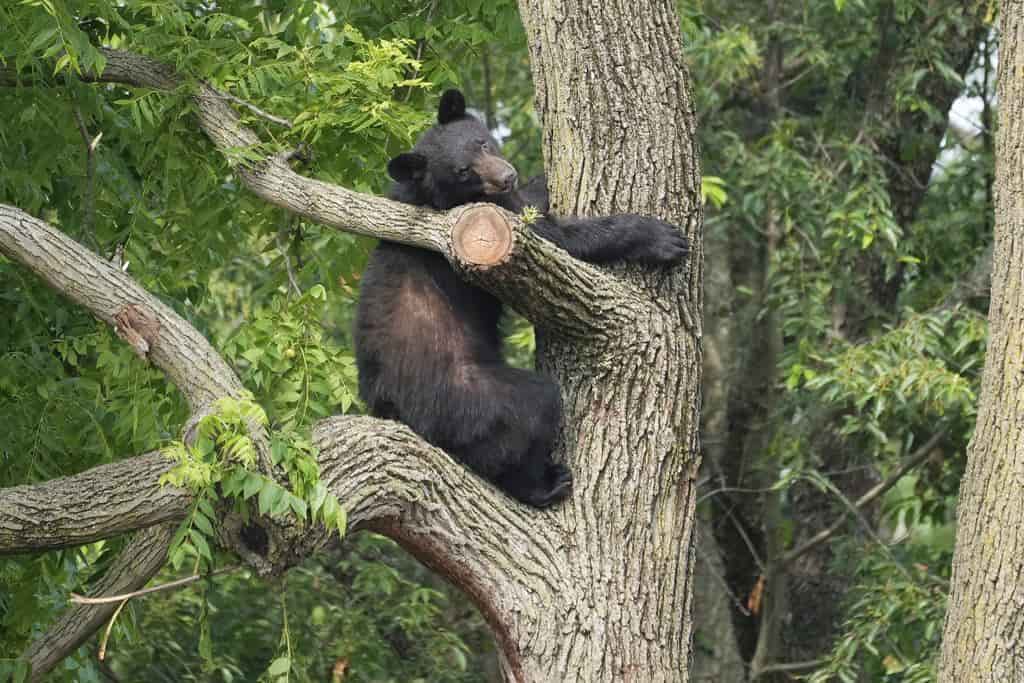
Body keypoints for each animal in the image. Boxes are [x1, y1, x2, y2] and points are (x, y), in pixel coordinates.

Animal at [354, 90, 688, 508]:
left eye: (482, 142)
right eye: (464, 171)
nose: (506, 175)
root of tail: (395, 411)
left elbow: (531, 206)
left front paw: (538, 181)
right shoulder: (482, 225)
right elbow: (559, 239)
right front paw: (660, 238)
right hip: (470, 395)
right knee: (529, 415)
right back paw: (543, 484)